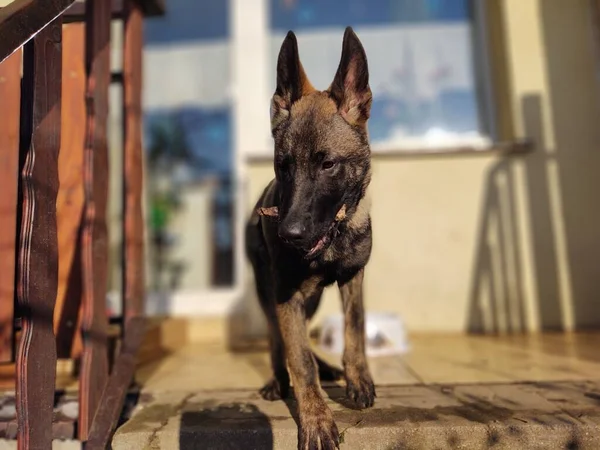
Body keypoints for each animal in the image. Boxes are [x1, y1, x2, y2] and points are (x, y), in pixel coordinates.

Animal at [246, 26, 372, 448]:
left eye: (328, 164)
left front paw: (357, 377)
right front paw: (316, 419)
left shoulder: (354, 278)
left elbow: (355, 326)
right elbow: (299, 358)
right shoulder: (286, 296)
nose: (289, 234)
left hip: (312, 300)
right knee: (277, 342)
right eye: (283, 166)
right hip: (270, 294)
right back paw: (277, 381)